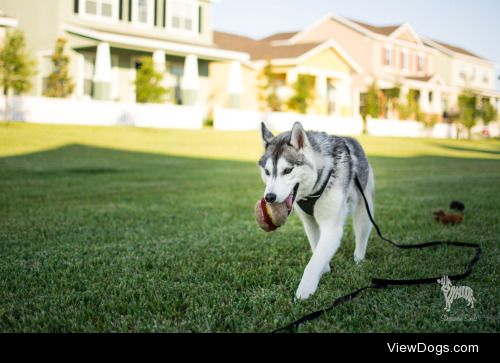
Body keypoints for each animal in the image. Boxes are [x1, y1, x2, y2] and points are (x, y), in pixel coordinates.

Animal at [260, 121, 374, 300]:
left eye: (287, 170)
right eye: (267, 172)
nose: (269, 197)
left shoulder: (331, 228)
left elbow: (313, 263)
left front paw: (304, 292)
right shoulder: (309, 223)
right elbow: (317, 249)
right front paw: (324, 268)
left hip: (364, 211)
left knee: (362, 234)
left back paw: (358, 259)